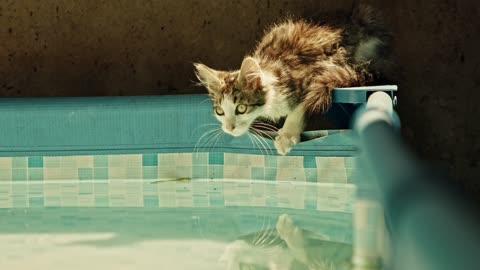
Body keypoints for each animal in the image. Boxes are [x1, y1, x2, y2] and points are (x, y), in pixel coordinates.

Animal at [193, 6, 392, 155]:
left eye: (241, 108)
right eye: (219, 111)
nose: (229, 128)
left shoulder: (320, 71)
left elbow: (302, 105)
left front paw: (287, 135)